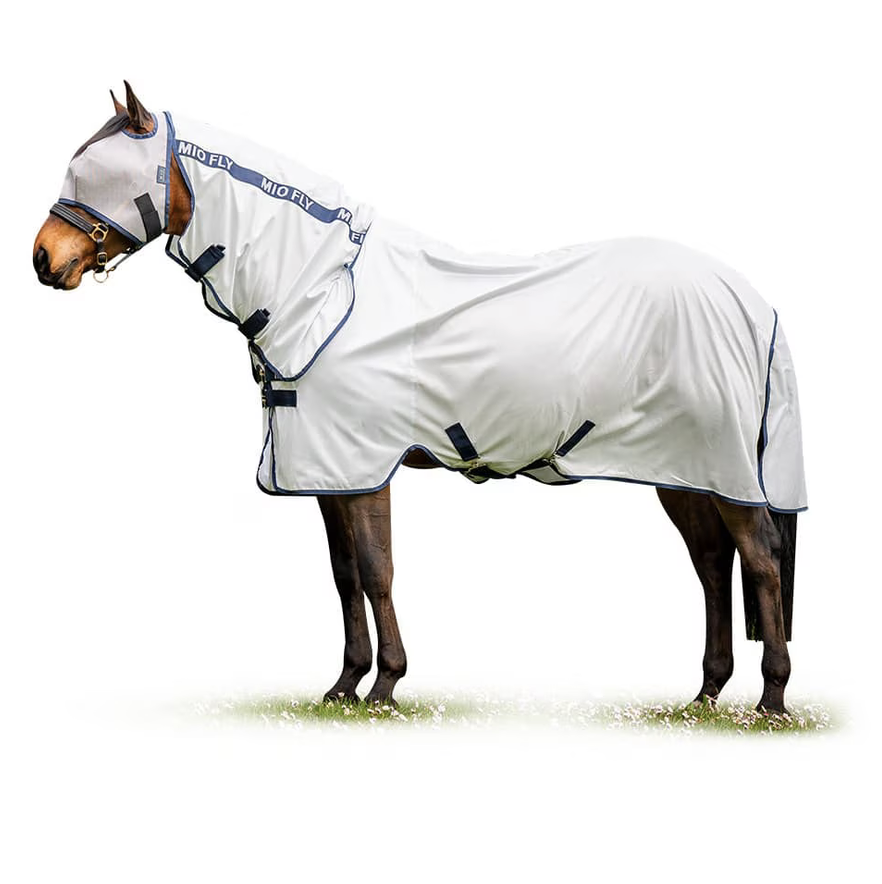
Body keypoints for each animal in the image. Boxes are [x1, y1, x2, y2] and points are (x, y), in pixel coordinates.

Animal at [32, 83, 805, 713]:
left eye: (100, 174)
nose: (43, 258)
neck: (321, 292)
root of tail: (752, 302)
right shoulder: (329, 472)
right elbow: (344, 576)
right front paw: (344, 684)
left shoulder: (364, 464)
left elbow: (377, 571)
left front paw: (386, 684)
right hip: (682, 470)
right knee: (713, 566)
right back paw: (707, 692)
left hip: (722, 469)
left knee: (761, 562)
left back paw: (770, 699)